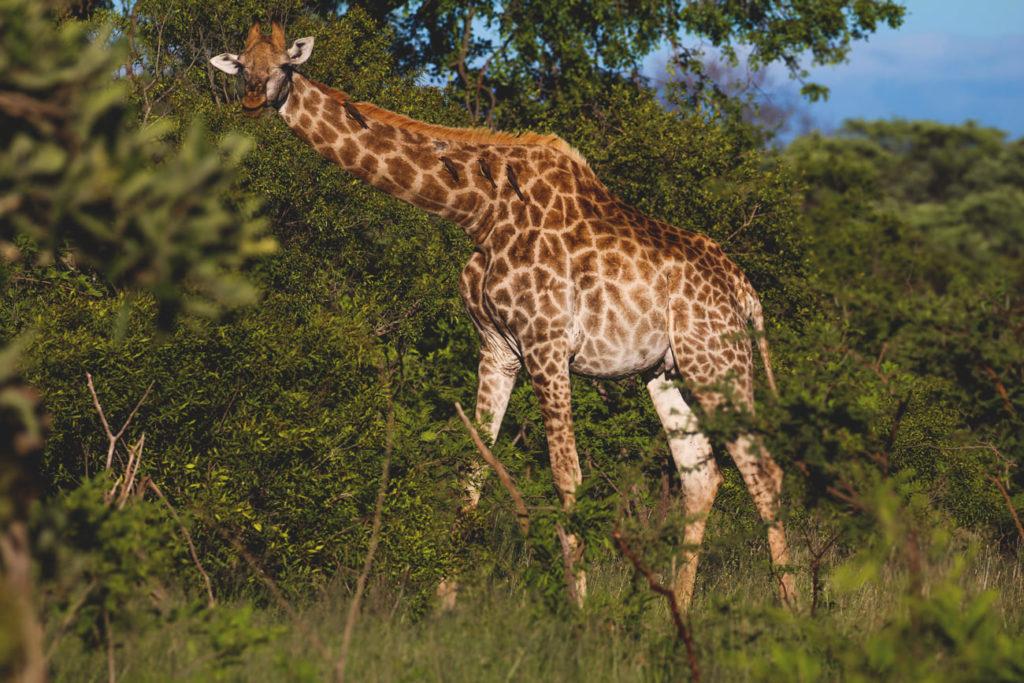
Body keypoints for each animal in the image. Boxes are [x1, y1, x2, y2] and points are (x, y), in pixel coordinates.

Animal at [211, 22, 798, 610]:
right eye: (241, 67)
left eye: (284, 66)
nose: (252, 100)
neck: (481, 211)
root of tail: (746, 294)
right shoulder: (498, 349)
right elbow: (472, 469)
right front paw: (444, 603)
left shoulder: (546, 343)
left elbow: (566, 476)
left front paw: (580, 609)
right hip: (665, 371)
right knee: (701, 473)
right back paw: (675, 609)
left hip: (716, 361)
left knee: (764, 469)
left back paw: (791, 610)